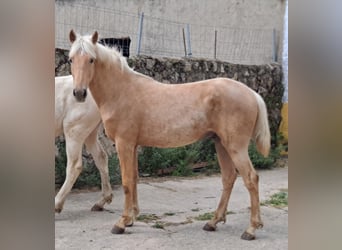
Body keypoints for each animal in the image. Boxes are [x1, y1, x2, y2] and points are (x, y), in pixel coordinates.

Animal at [54, 74, 113, 213]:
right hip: (90, 131)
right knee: (101, 156)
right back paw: (101, 202)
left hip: (74, 129)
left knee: (74, 165)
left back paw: (57, 204)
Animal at [69, 29, 270, 240]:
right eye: (71, 59)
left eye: (91, 59)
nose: (79, 93)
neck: (122, 91)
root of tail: (251, 93)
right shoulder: (133, 146)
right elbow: (134, 179)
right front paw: (132, 218)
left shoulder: (124, 144)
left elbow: (126, 182)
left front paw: (121, 223)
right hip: (221, 144)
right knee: (229, 178)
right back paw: (213, 222)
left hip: (235, 147)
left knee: (251, 178)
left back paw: (251, 229)